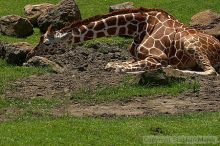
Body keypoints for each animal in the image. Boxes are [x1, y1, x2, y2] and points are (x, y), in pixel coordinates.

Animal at [27, 7, 220, 75]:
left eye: (46, 43)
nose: (30, 53)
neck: (140, 27)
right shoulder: (135, 57)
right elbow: (113, 63)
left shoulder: (158, 57)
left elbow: (115, 67)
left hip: (190, 44)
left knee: (211, 72)